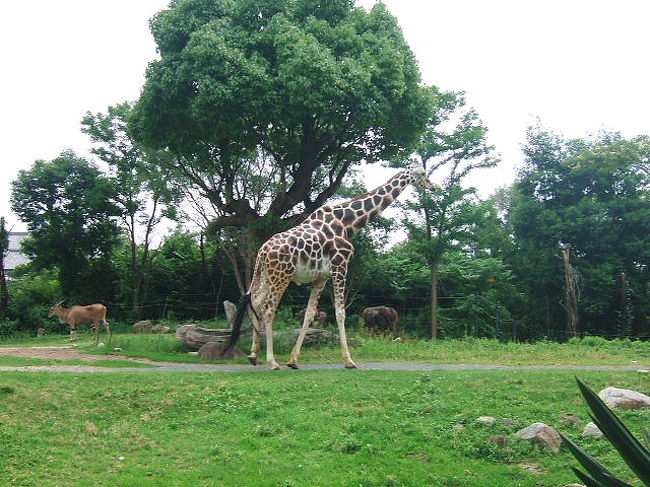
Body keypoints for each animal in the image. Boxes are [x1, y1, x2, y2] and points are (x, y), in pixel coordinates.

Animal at [228, 160, 436, 370]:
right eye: (423, 172)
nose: (433, 186)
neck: (347, 224)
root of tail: (262, 251)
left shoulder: (322, 276)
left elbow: (310, 313)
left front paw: (293, 360)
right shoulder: (340, 266)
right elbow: (340, 312)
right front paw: (349, 360)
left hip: (266, 275)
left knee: (255, 302)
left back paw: (254, 354)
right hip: (282, 275)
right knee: (268, 308)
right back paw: (272, 361)